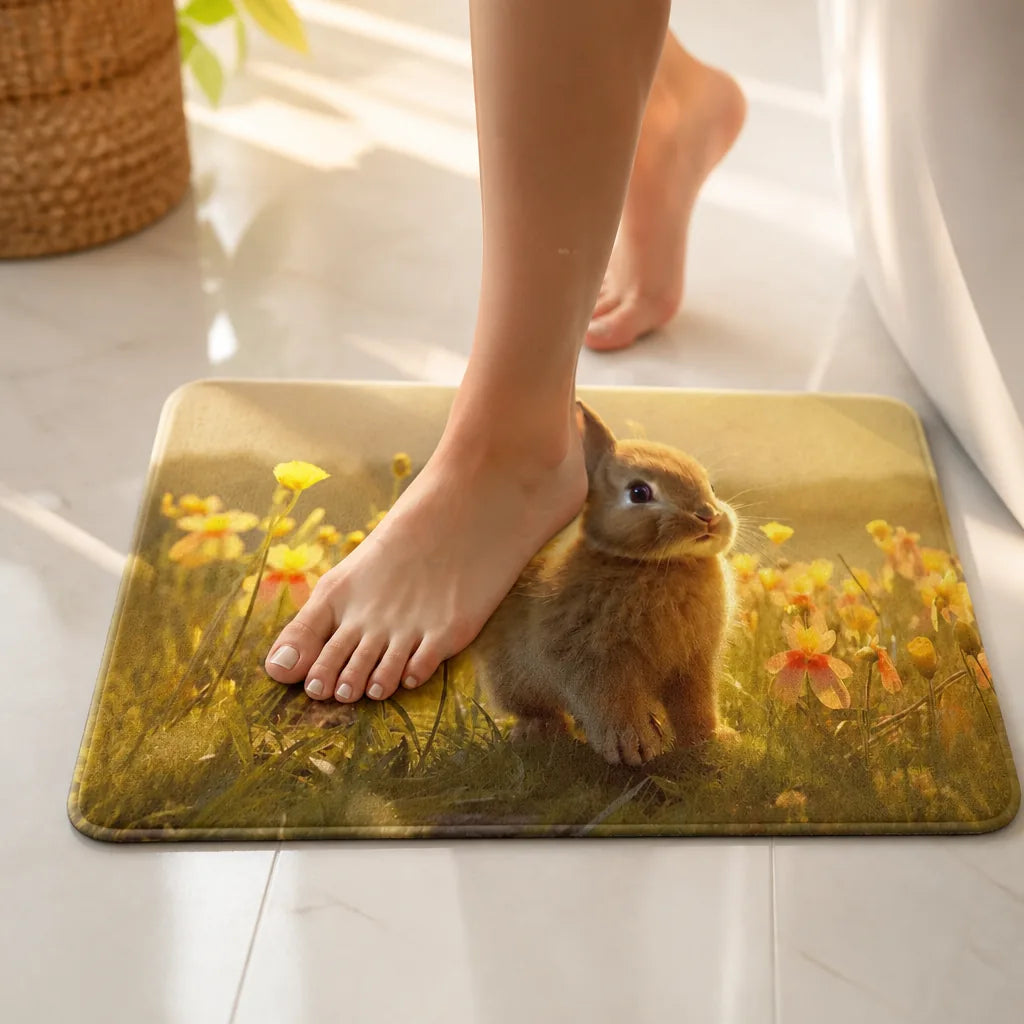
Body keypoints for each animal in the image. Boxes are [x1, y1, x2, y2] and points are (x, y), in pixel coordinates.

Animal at [470, 402, 737, 767]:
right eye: (639, 492)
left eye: (711, 486)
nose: (708, 516)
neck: (659, 564)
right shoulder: (597, 659)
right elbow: (611, 702)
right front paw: (634, 748)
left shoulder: (694, 664)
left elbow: (696, 705)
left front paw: (713, 741)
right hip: (512, 679)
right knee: (538, 709)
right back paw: (534, 734)